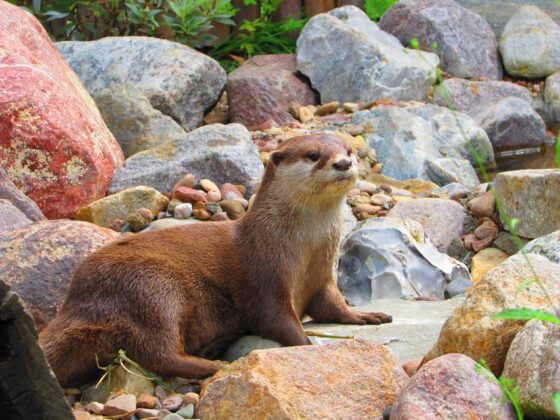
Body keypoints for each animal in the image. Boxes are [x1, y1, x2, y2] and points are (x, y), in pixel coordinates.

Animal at [39, 135, 392, 388]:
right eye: (313, 155)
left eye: (349, 149)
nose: (343, 162)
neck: (301, 250)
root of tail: (75, 302)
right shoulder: (264, 279)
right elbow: (275, 319)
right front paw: (306, 344)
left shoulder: (322, 277)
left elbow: (333, 306)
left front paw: (365, 315)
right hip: (152, 290)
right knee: (159, 352)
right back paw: (216, 364)